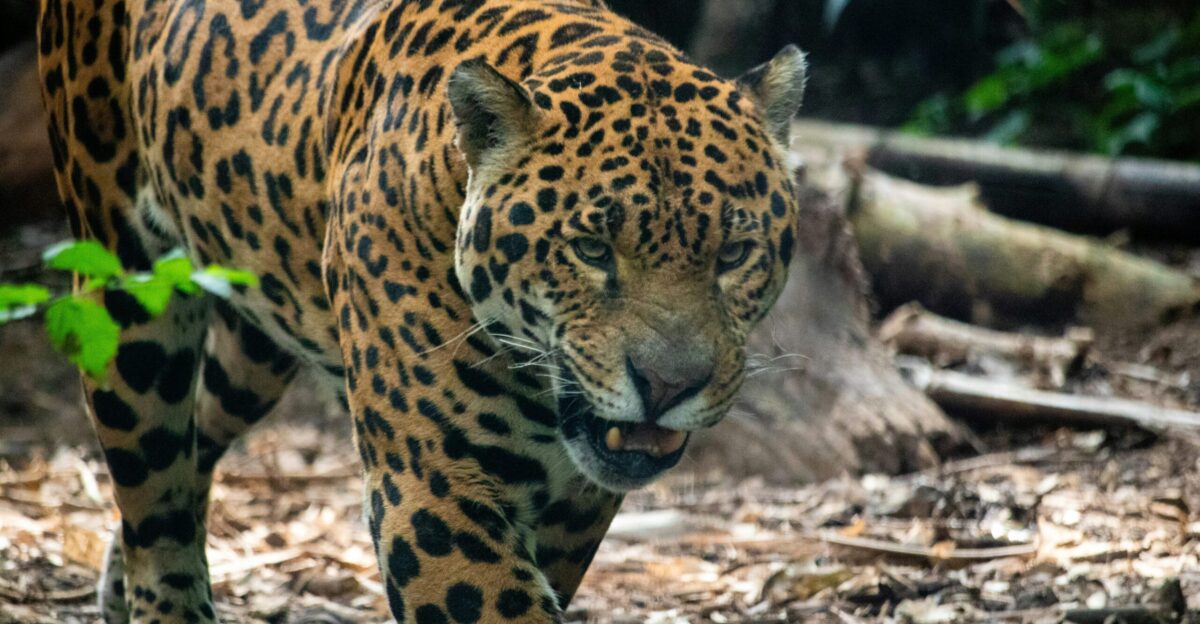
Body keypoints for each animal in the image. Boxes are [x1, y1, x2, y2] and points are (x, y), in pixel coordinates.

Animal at [36, 0, 808, 621]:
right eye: (591, 248)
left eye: (735, 254)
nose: (670, 386)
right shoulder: (435, 484)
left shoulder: (575, 503)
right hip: (125, 289)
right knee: (152, 483)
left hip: (258, 336)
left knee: (196, 434)